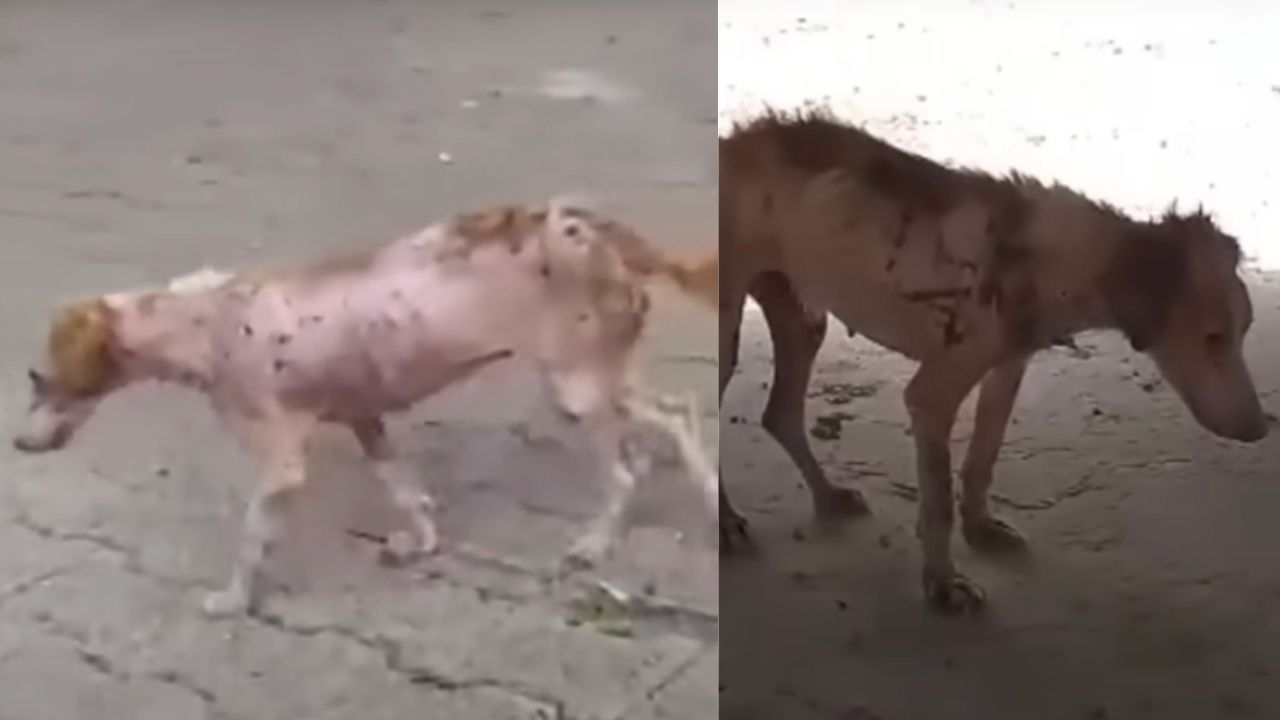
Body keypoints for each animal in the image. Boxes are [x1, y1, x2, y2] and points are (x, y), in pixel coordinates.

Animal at [12, 197, 721, 617]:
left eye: (42, 378)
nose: (17, 445)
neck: (205, 324)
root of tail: (593, 223)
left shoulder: (282, 462)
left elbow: (251, 537)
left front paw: (233, 599)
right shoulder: (365, 420)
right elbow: (405, 489)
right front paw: (421, 543)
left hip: (574, 385)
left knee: (628, 466)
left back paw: (597, 542)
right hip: (603, 372)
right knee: (677, 413)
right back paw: (713, 502)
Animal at [721, 107, 1269, 609]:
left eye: (1245, 330)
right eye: (1212, 337)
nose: (1261, 430)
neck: (1044, 259)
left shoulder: (1008, 366)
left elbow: (982, 456)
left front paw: (981, 529)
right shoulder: (931, 396)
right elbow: (937, 502)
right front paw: (943, 584)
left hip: (804, 320)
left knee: (780, 414)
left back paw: (829, 496)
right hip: (729, 333)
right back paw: (728, 524)